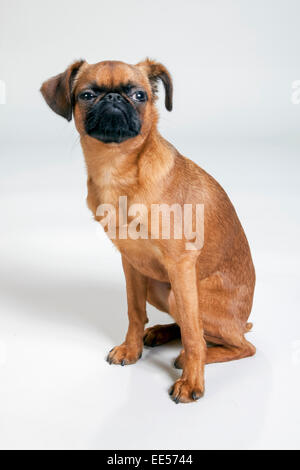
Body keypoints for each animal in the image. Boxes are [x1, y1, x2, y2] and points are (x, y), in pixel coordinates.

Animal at [39, 59, 255, 404]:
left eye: (139, 95)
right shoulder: (131, 263)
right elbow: (134, 310)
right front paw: (132, 347)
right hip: (159, 288)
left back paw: (193, 356)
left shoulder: (181, 263)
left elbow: (193, 334)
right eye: (87, 94)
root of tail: (242, 320)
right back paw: (159, 333)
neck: (118, 169)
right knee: (189, 326)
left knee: (234, 344)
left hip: (185, 295)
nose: (114, 98)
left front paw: (192, 381)